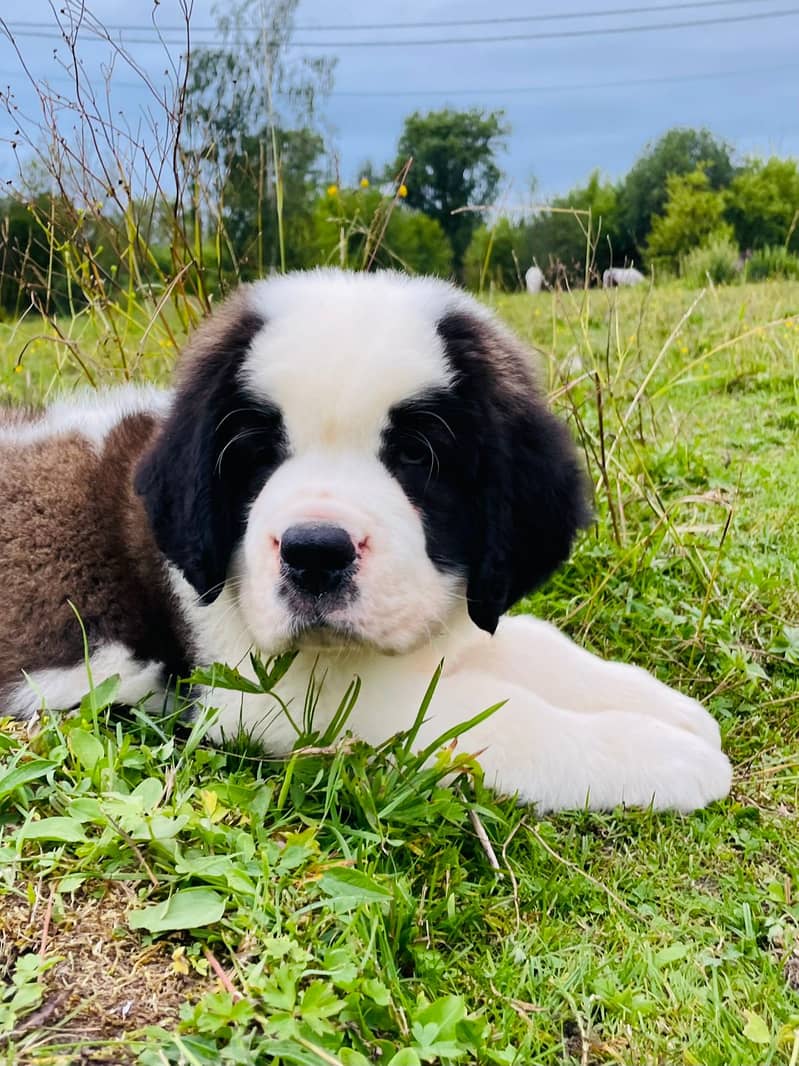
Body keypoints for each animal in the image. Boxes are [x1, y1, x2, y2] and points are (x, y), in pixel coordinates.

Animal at [0, 270, 732, 810]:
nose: (314, 553)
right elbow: (492, 721)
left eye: (415, 456)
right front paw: (661, 754)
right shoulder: (284, 706)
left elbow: (536, 646)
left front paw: (663, 708)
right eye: (257, 455)